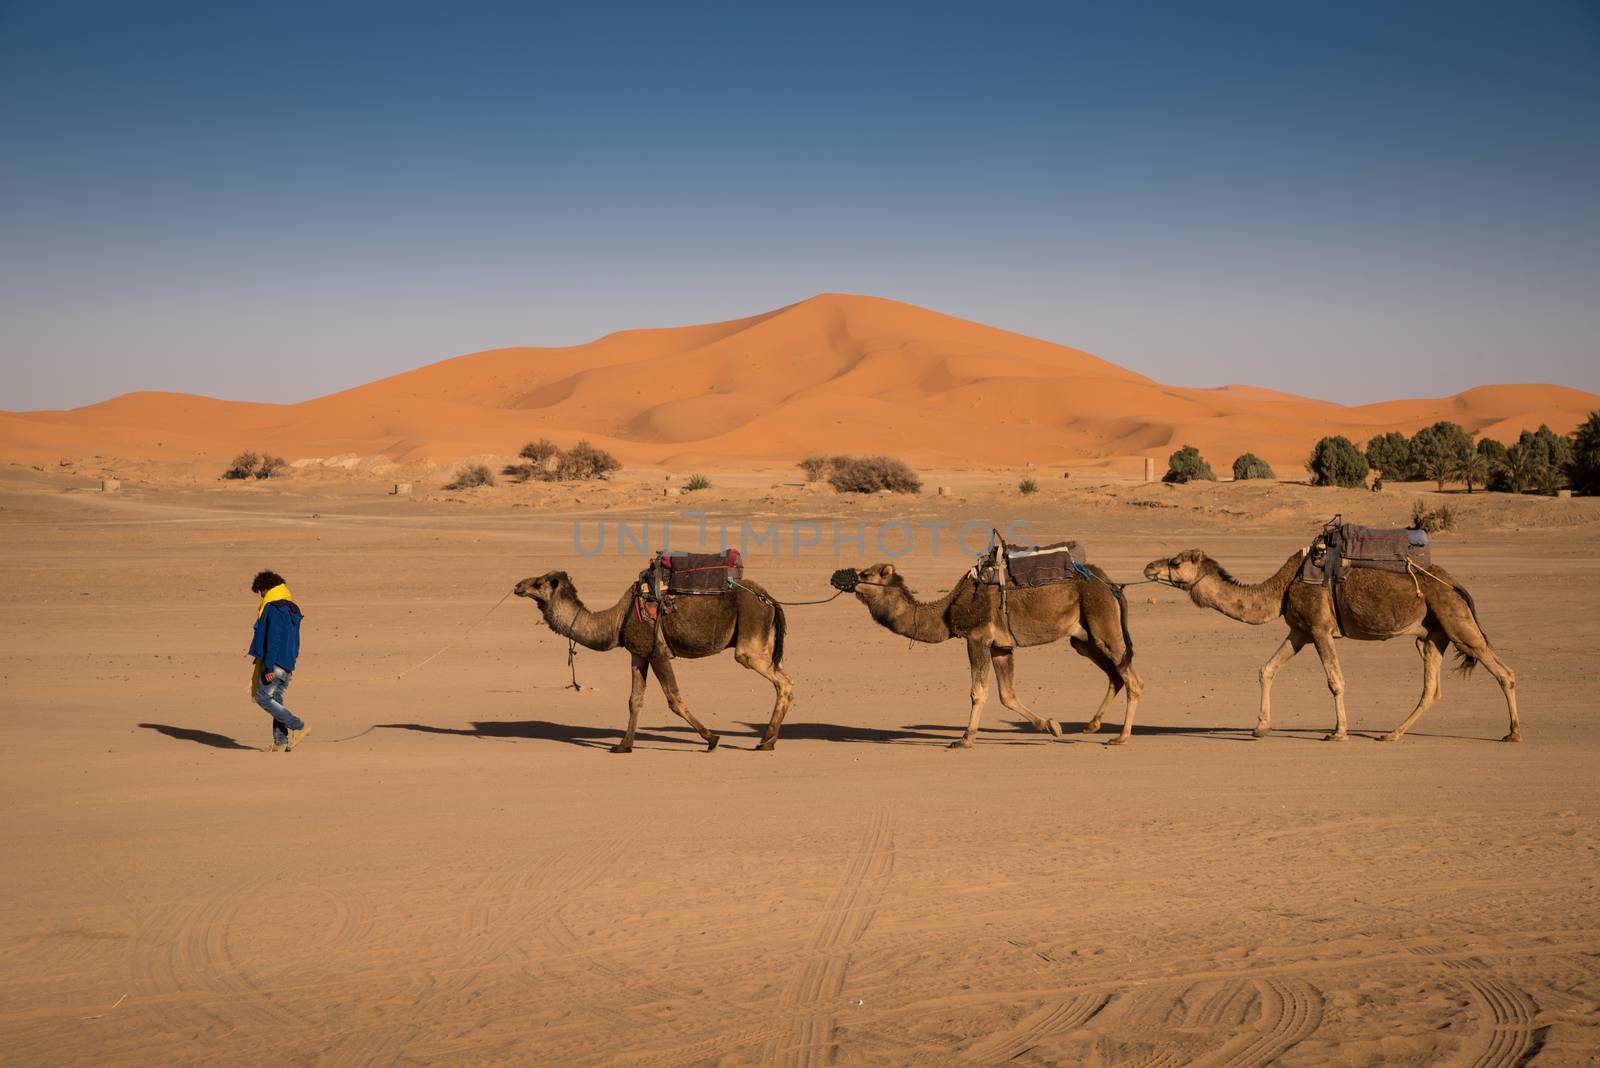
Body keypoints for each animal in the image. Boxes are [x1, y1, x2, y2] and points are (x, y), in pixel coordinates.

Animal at [512, 575, 793, 751]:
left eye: (538, 582)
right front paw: (623, 746)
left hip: (749, 638)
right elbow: (634, 700)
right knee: (783, 679)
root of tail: (769, 599)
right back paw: (768, 741)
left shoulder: (658, 653)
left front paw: (712, 739)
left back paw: (765, 741)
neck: (618, 619)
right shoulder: (639, 653)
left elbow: (674, 699)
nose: (517, 585)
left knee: (783, 681)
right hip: (764, 639)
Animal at [832, 562, 1145, 748]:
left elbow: (978, 692)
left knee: (1133, 680)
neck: (946, 610)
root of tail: (1110, 585)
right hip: (1084, 639)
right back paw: (1092, 725)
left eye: (866, 574)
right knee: (1116, 675)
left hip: (1103, 624)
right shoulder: (1000, 646)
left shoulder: (977, 638)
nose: (837, 576)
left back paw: (1121, 737)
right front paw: (1051, 726)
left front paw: (965, 739)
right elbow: (1007, 695)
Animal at [1145, 549, 1516, 741]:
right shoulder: (1300, 631)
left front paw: (1338, 732)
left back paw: (1513, 733)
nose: (1149, 566)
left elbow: (1335, 681)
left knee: (1503, 671)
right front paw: (1260, 727)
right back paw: (1392, 733)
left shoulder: (1320, 628)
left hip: (1456, 620)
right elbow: (1267, 670)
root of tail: (1455, 584)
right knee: (1431, 689)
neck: (1281, 588)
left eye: (1176, 562)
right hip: (1434, 633)